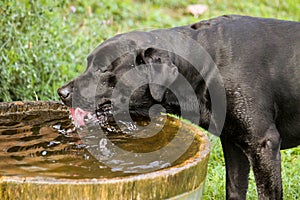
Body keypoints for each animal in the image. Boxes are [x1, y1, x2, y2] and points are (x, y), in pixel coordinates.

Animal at [57, 15, 298, 198]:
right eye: (88, 64)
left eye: (101, 68)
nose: (62, 93)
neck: (207, 66)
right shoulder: (233, 145)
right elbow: (235, 189)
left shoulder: (263, 144)